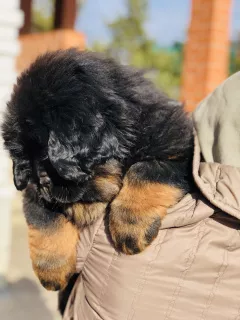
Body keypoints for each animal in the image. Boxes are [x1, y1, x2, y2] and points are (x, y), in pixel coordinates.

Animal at [0, 48, 194, 292]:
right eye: (24, 160)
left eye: (48, 157)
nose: (41, 183)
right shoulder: (34, 198)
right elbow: (45, 222)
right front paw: (51, 273)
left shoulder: (179, 150)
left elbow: (145, 169)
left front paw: (130, 227)